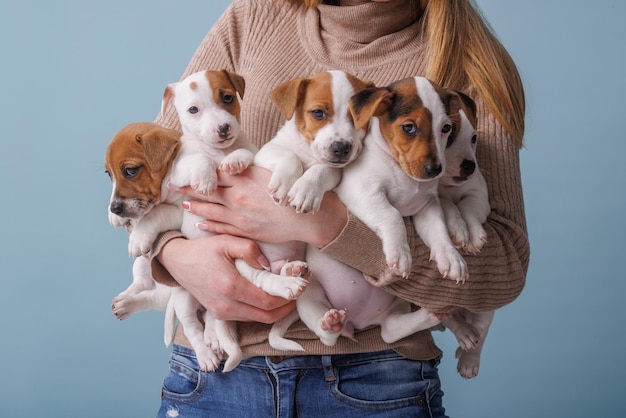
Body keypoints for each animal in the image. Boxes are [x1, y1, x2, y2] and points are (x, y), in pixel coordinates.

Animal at [160, 69, 308, 372]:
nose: (223, 128)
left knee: (218, 316)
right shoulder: (177, 173)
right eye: (193, 110)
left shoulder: (252, 151)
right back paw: (207, 353)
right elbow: (199, 161)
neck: (217, 151)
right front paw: (206, 179)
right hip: (187, 294)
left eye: (227, 98)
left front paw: (234, 162)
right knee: (194, 326)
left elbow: (244, 154)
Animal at [268, 75, 468, 350]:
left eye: (446, 128)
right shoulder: (362, 194)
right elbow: (392, 215)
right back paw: (330, 322)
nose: (435, 170)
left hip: (397, 304)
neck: (403, 174)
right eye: (409, 128)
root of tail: (358, 320)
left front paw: (451, 258)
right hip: (310, 293)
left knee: (391, 330)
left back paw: (432, 314)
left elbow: (439, 232)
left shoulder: (427, 207)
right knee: (328, 336)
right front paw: (400, 253)